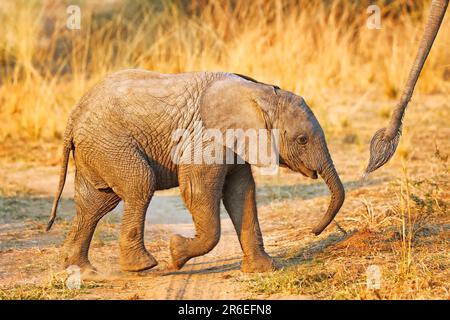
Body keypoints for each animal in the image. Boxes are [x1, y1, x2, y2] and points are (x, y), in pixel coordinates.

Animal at [46, 69, 344, 272]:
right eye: (302, 140)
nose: (314, 231)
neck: (259, 93)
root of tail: (73, 116)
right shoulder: (206, 138)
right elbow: (197, 190)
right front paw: (176, 252)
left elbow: (241, 193)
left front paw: (264, 269)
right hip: (110, 143)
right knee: (139, 185)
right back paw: (142, 266)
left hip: (98, 148)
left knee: (95, 203)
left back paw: (80, 269)